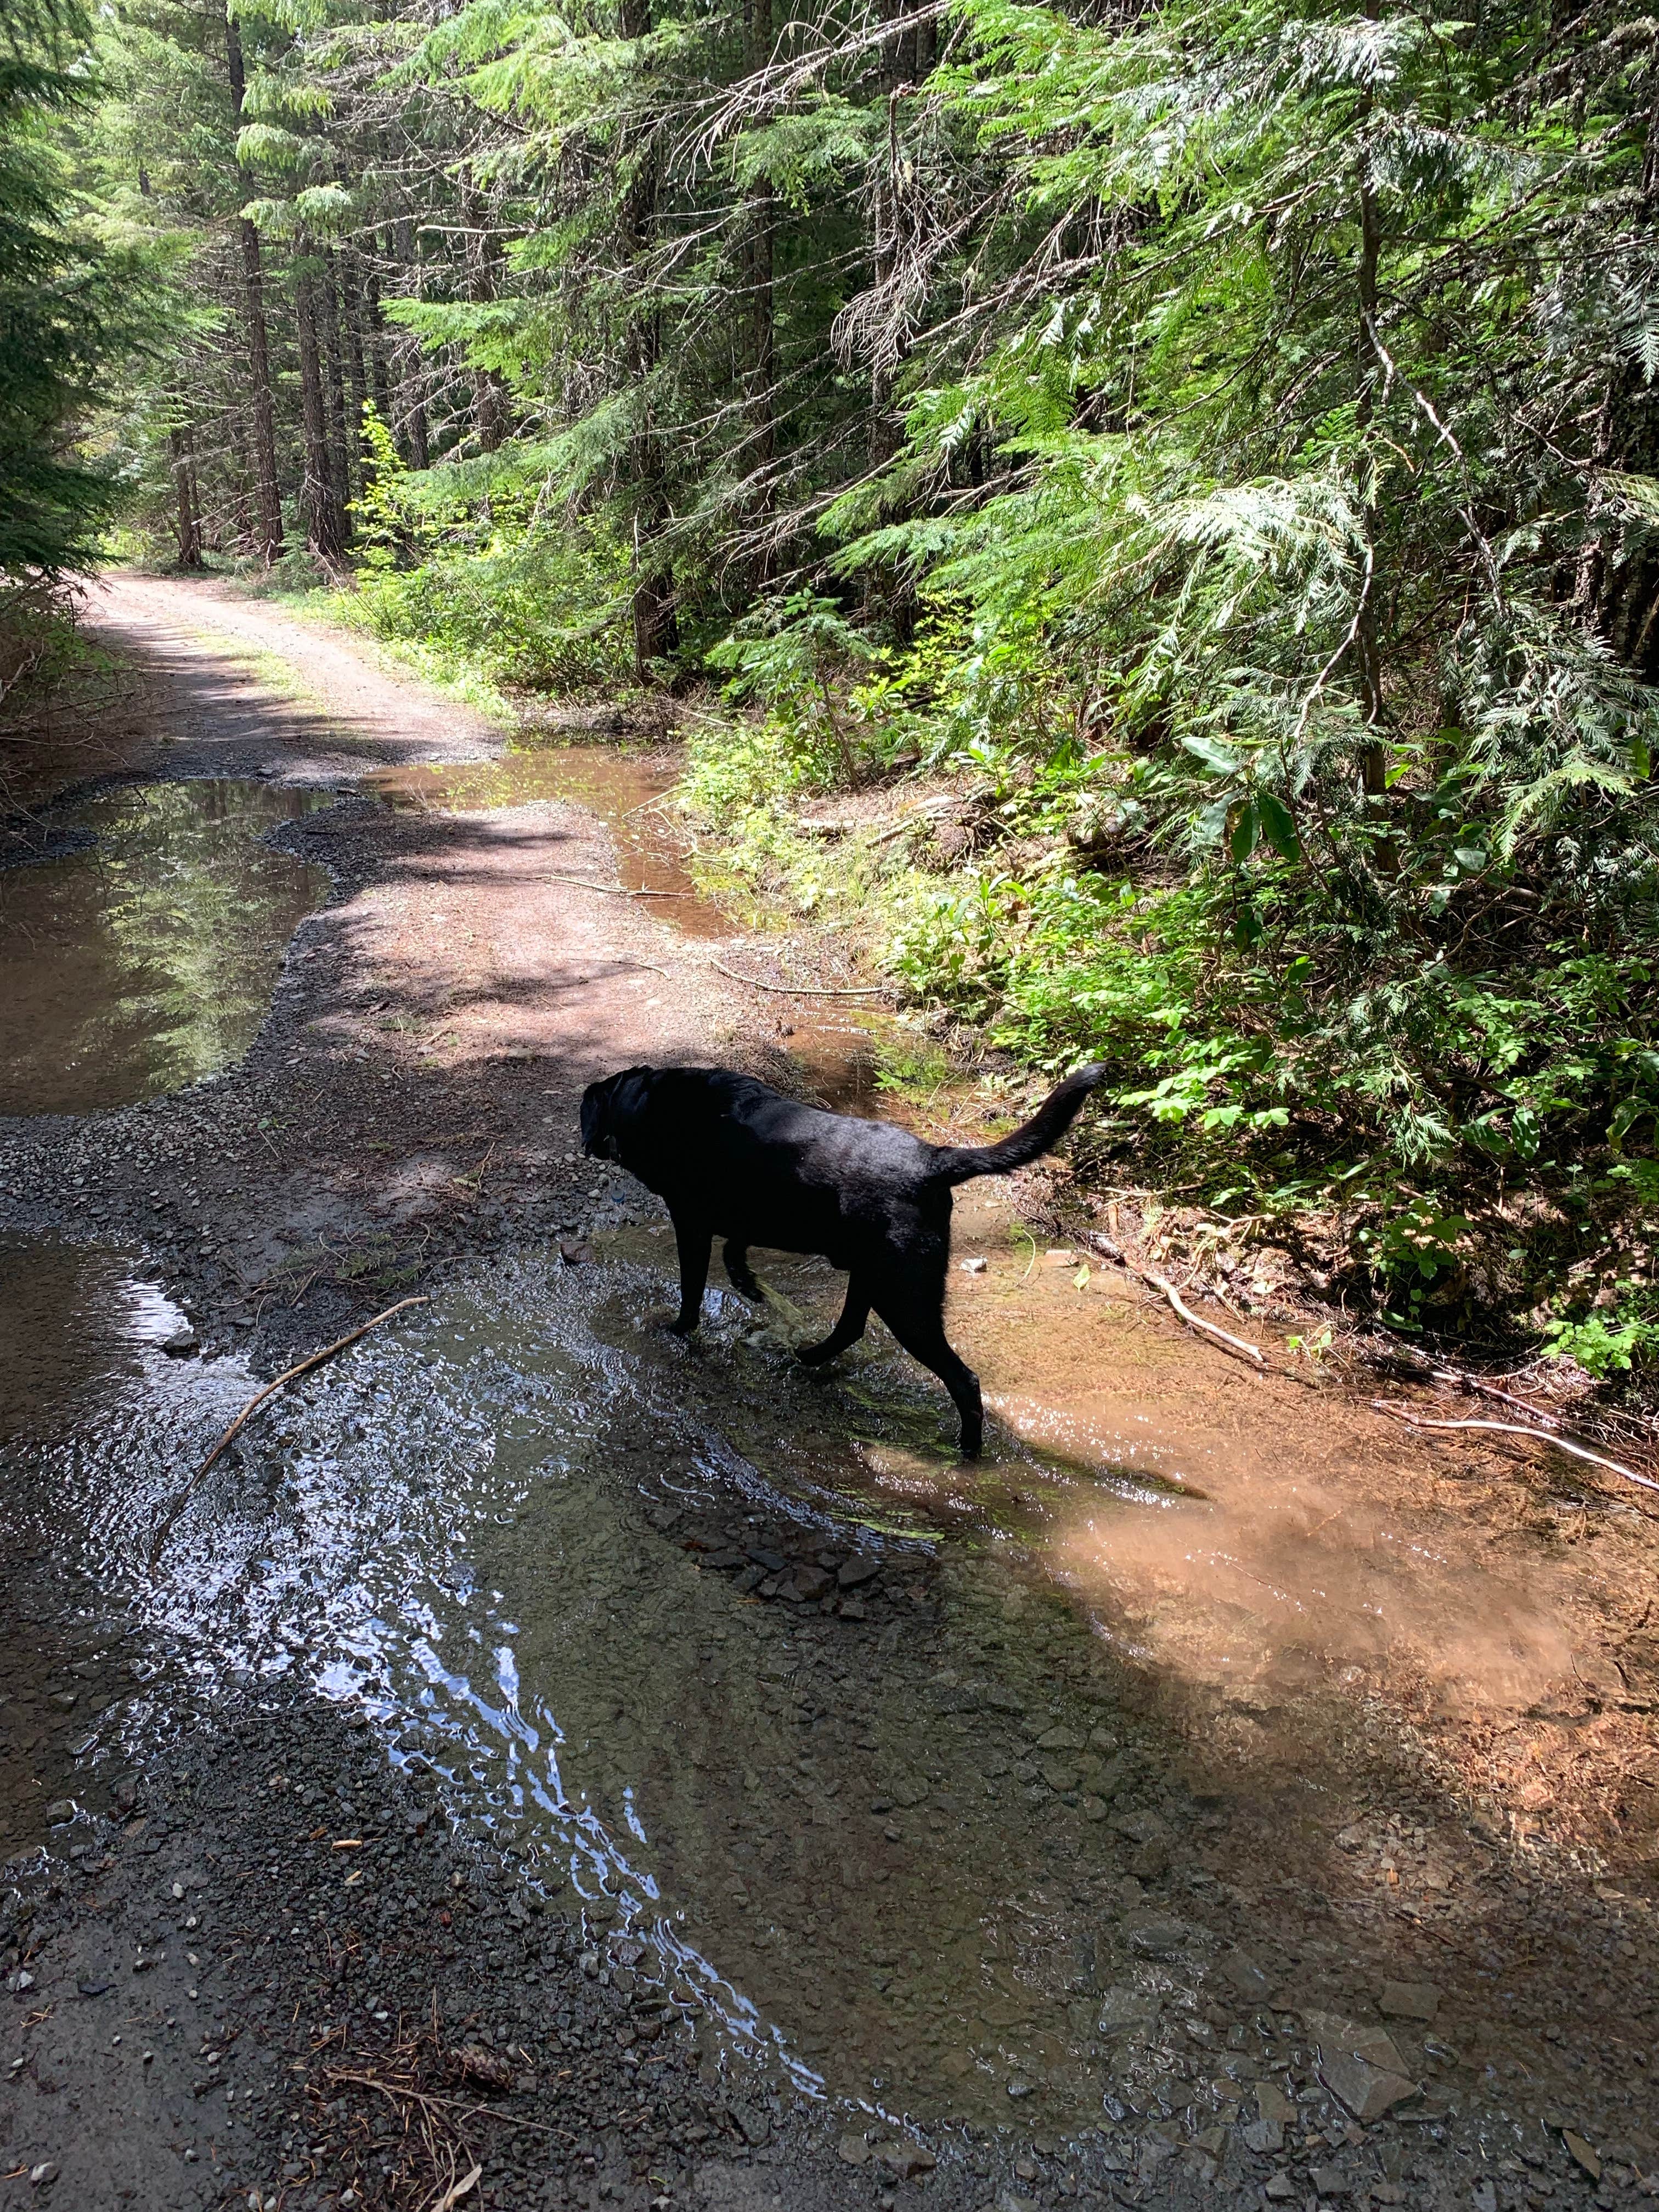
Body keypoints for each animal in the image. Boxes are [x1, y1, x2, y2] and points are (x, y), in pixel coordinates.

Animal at [579, 1062, 1110, 1460]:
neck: (650, 1103)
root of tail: (934, 1161)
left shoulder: (690, 1222)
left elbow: (691, 1289)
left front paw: (676, 1329)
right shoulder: (745, 1216)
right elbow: (736, 1249)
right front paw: (746, 1282)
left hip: (905, 1297)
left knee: (964, 1381)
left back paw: (967, 1452)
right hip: (873, 1275)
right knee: (851, 1327)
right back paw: (807, 1357)